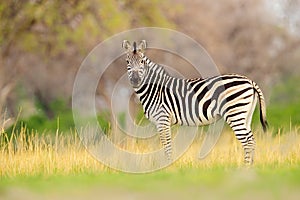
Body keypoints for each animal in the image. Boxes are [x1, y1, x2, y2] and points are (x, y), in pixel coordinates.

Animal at [121, 39, 268, 164]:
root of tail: (249, 81)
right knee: (251, 140)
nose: (135, 80)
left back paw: (245, 168)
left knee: (247, 142)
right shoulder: (162, 121)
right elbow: (166, 144)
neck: (154, 89)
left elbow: (167, 145)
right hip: (245, 115)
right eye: (127, 62)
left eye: (141, 62)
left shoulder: (162, 119)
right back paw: (250, 167)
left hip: (235, 113)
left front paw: (168, 166)